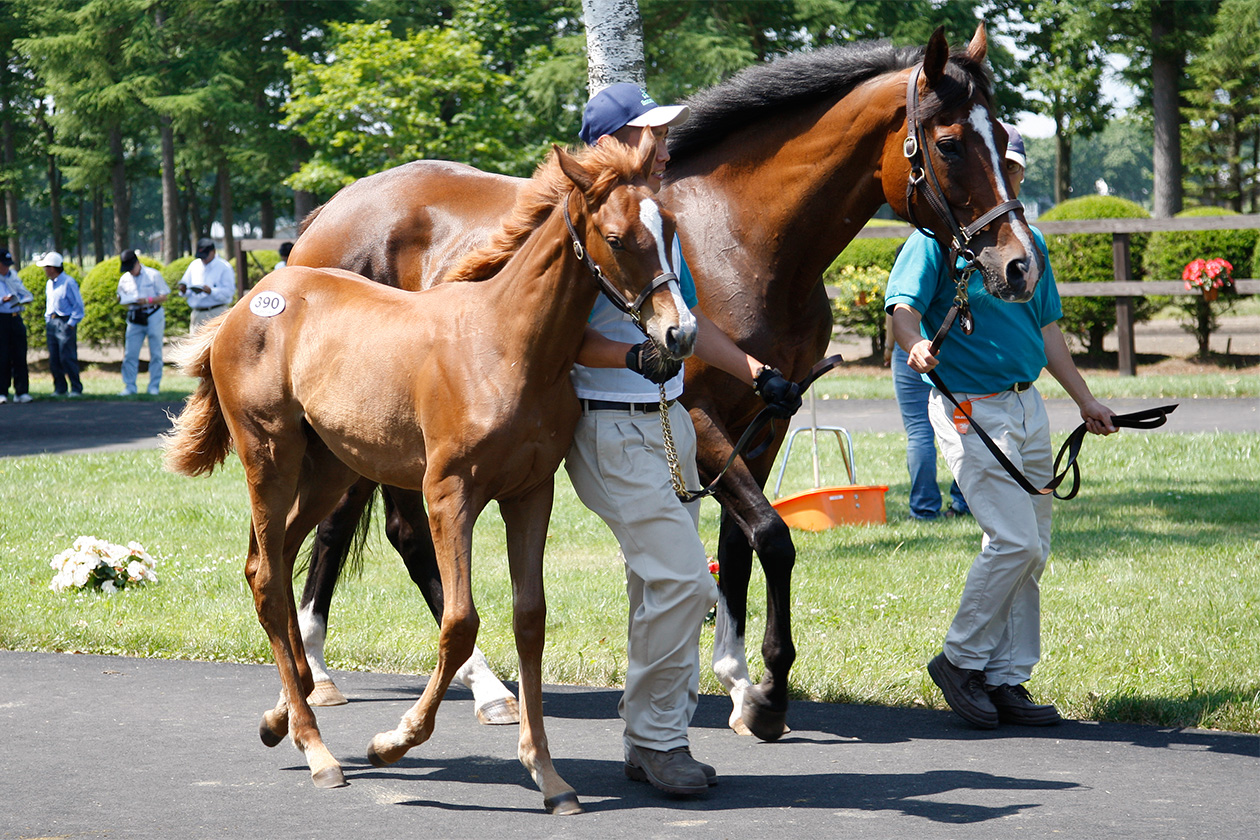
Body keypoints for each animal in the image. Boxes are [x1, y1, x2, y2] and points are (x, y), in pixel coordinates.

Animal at [162, 131, 692, 814]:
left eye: (669, 227)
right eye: (620, 237)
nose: (678, 334)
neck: (506, 344)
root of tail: (251, 300)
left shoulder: (531, 493)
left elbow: (530, 619)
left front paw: (549, 778)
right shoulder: (449, 493)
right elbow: (460, 621)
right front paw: (394, 740)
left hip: (328, 469)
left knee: (265, 562)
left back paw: (285, 711)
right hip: (270, 456)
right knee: (272, 578)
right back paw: (317, 748)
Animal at [289, 24, 1042, 741]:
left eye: (1003, 136)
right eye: (949, 144)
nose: (1018, 266)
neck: (741, 239)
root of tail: (325, 217)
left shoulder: (767, 418)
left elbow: (737, 547)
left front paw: (738, 686)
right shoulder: (697, 416)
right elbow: (773, 536)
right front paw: (768, 693)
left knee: (349, 527)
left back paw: (331, 666)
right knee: (396, 534)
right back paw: (457, 685)